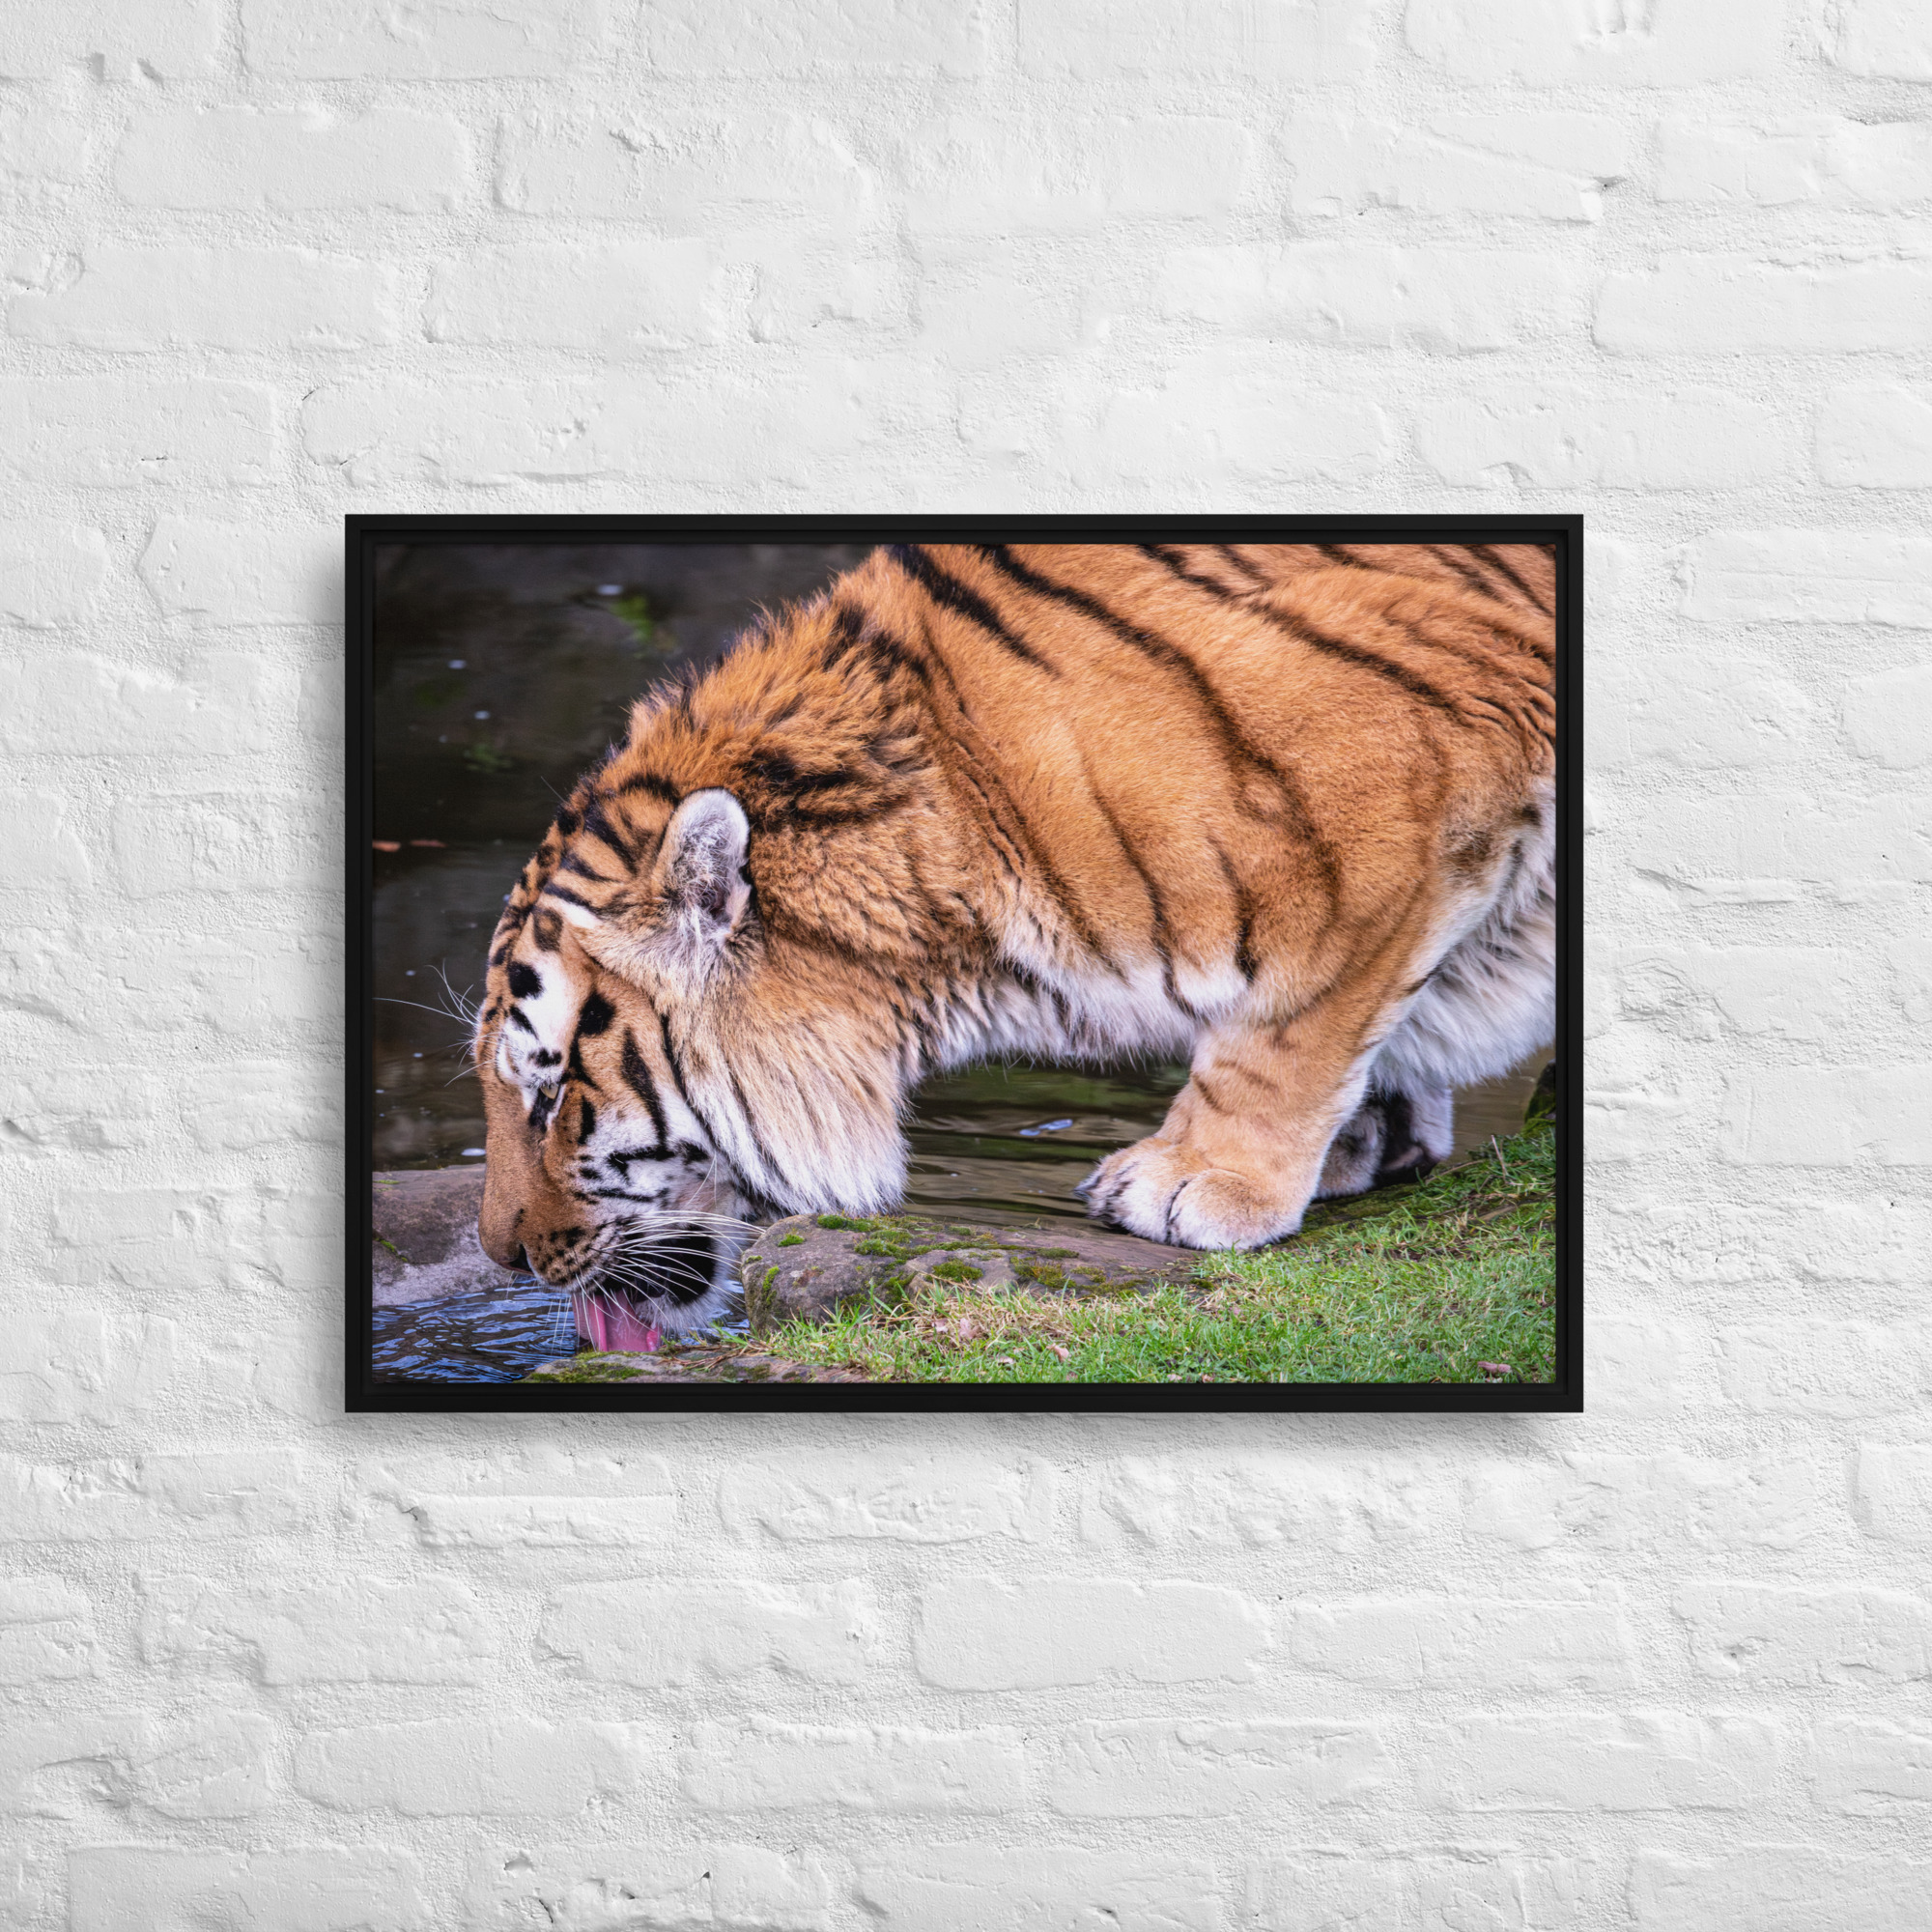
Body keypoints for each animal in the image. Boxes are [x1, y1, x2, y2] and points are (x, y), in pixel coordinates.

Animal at [471, 541, 1557, 1347]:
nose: (500, 1258)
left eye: (554, 1095)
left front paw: (1196, 1180)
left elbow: (1291, 1015)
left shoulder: (1395, 780)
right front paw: (1369, 1135)